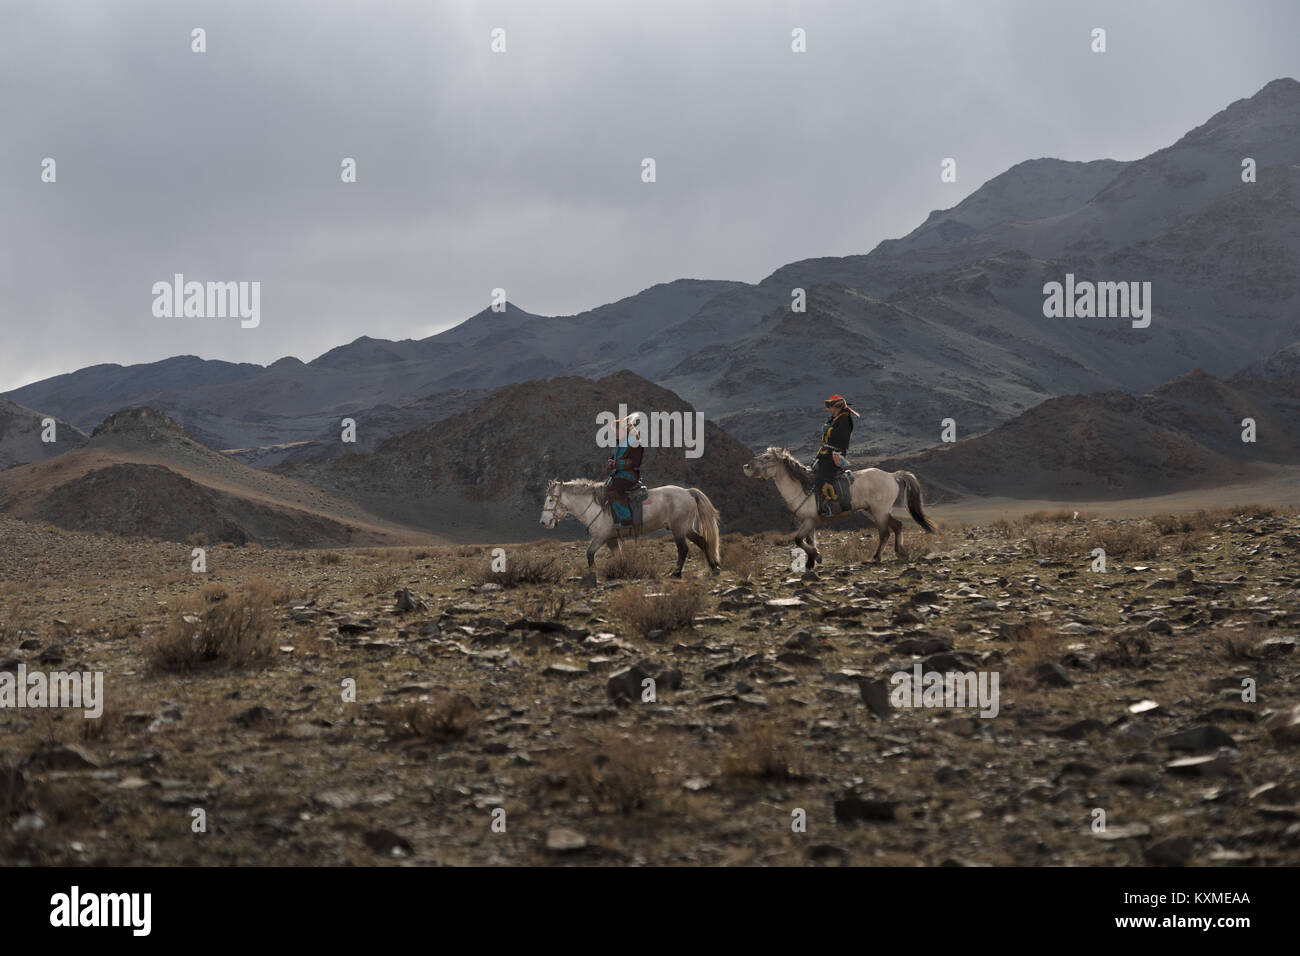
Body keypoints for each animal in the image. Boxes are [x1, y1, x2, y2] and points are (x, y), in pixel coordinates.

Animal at [538, 478, 722, 574]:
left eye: (551, 500)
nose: (543, 522)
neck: (596, 506)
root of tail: (688, 492)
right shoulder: (611, 540)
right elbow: (619, 558)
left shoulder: (602, 537)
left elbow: (589, 554)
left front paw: (593, 574)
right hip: (686, 528)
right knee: (703, 541)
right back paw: (713, 567)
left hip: (678, 529)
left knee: (683, 549)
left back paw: (676, 573)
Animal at [743, 447, 935, 567]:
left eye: (767, 458)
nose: (747, 466)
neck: (801, 487)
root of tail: (892, 476)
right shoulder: (808, 522)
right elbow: (808, 540)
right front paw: (811, 562)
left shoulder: (810, 520)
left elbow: (798, 540)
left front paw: (817, 556)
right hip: (879, 511)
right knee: (898, 526)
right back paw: (899, 551)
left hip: (879, 512)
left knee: (884, 533)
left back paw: (876, 557)